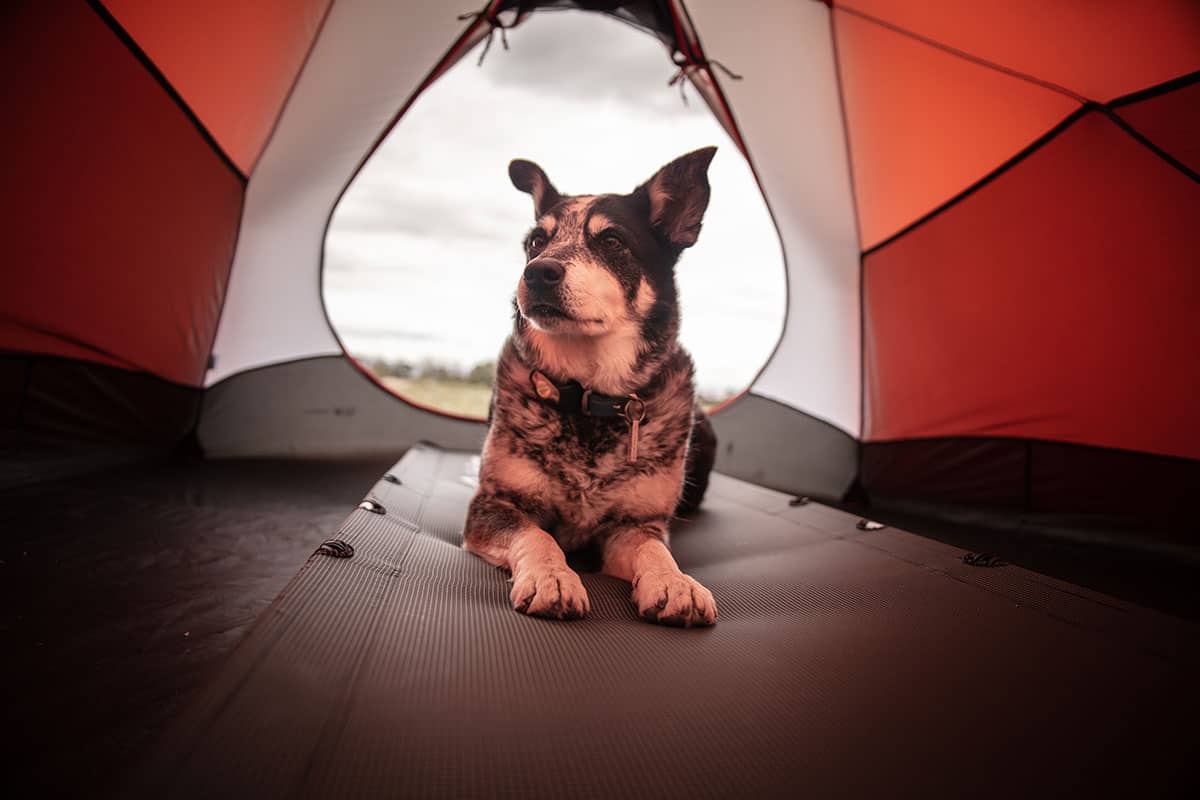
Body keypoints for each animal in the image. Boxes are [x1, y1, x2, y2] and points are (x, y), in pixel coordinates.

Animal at [463, 146, 715, 628]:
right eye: (535, 242)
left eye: (612, 241)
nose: (537, 273)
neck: (588, 396)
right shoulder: (494, 505)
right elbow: (537, 535)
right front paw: (553, 577)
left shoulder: (634, 525)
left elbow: (656, 551)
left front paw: (675, 583)